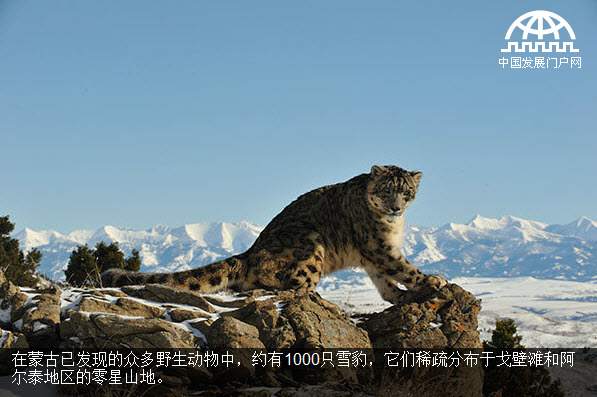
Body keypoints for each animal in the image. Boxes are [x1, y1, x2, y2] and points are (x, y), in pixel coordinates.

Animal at [101, 164, 448, 304]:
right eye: (387, 190)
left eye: (407, 192)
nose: (395, 208)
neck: (392, 228)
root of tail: (250, 252)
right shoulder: (377, 246)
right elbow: (402, 266)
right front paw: (433, 280)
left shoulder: (373, 255)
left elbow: (385, 280)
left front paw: (400, 295)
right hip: (310, 243)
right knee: (289, 284)